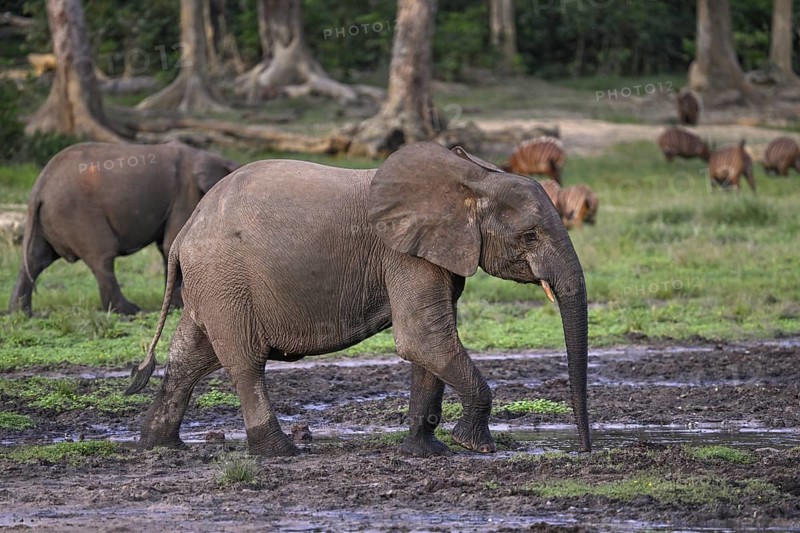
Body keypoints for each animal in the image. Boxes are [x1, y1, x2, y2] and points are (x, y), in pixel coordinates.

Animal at [8, 142, 239, 316]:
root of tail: (39, 188)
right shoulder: (186, 193)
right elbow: (172, 244)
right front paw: (180, 306)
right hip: (76, 213)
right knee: (102, 255)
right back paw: (128, 310)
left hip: (48, 219)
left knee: (35, 259)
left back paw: (20, 313)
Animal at [126, 142, 591, 457]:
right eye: (529, 236)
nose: (584, 450)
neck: (471, 176)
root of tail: (187, 230)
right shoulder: (403, 254)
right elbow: (422, 339)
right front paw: (474, 446)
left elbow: (429, 346)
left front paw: (427, 452)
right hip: (227, 279)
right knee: (244, 361)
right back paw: (279, 452)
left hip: (212, 283)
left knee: (190, 354)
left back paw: (158, 445)